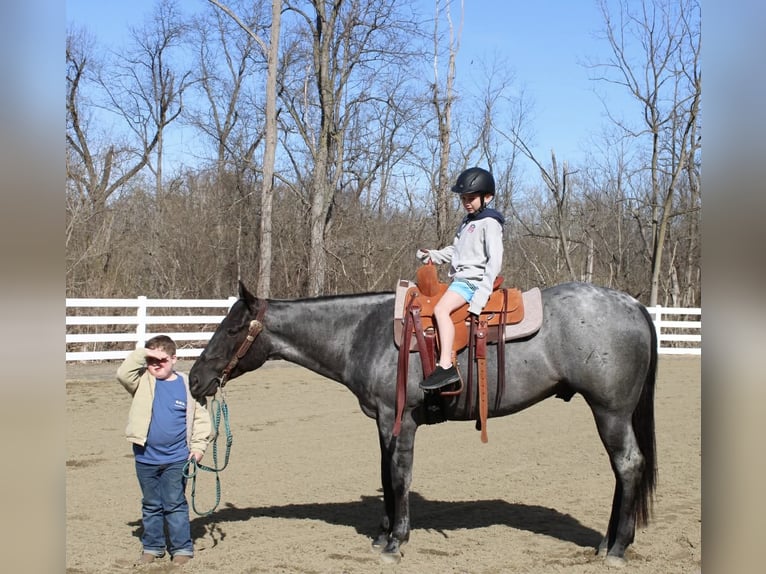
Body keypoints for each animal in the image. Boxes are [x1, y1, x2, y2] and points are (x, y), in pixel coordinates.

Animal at [189, 279, 657, 567]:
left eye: (231, 330)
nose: (194, 379)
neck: (364, 331)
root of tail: (634, 305)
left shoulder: (400, 421)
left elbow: (399, 476)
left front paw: (396, 541)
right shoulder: (383, 421)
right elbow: (385, 474)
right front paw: (382, 535)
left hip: (610, 412)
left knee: (628, 465)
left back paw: (617, 547)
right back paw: (609, 542)